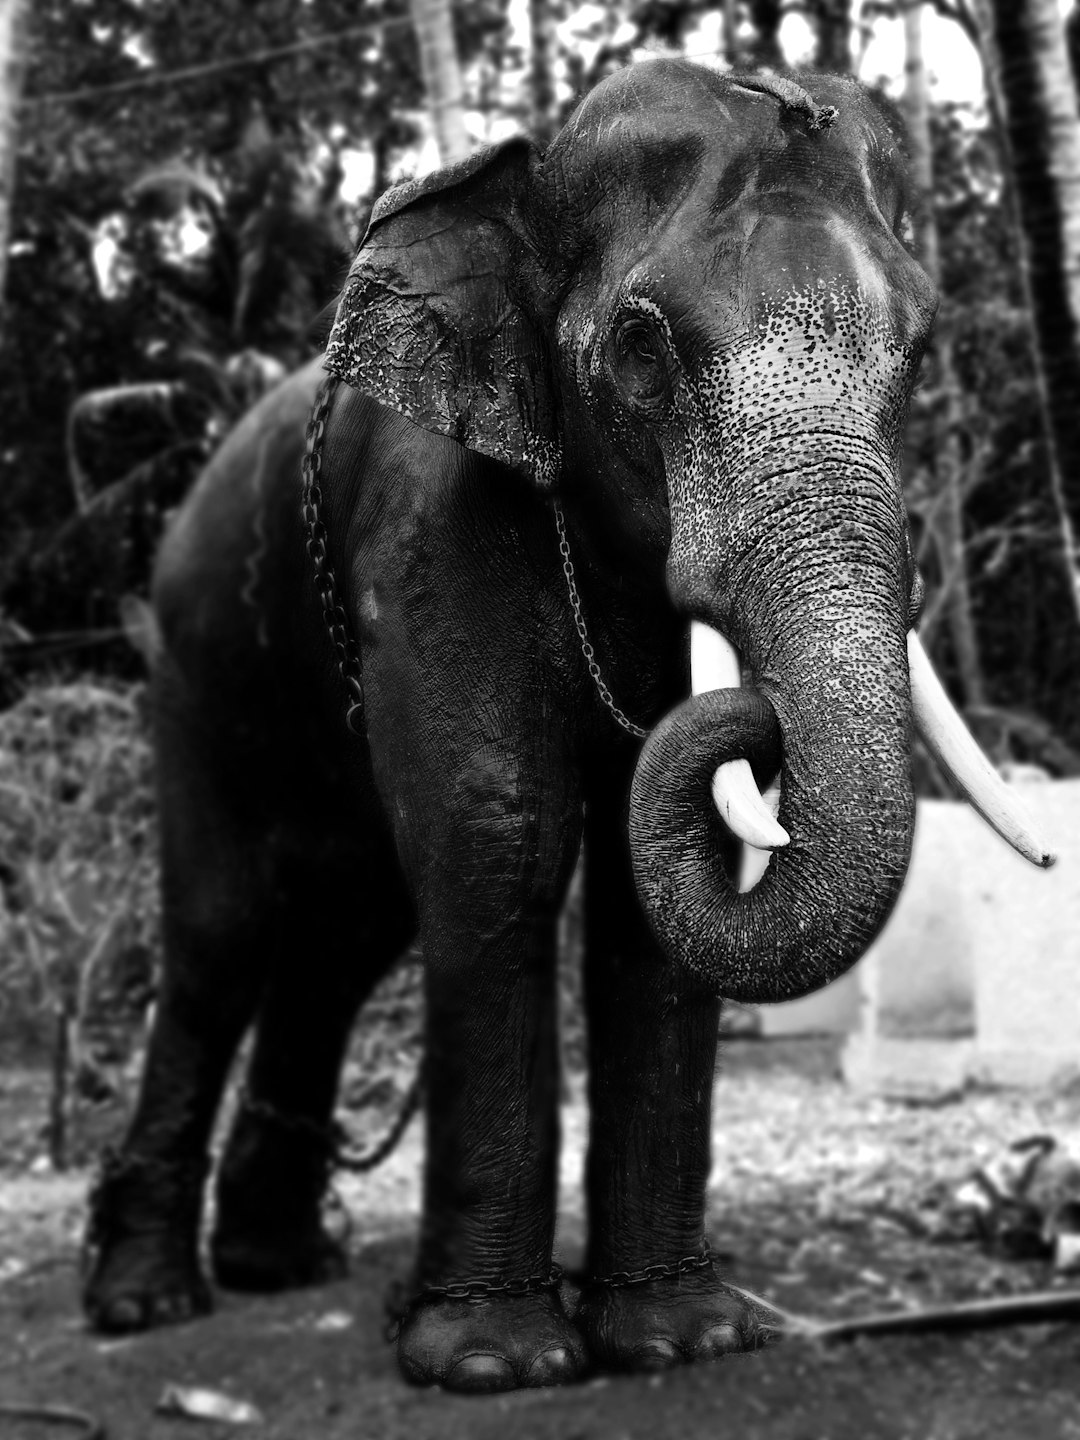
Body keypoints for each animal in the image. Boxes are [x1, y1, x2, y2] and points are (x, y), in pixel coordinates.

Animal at [82, 59, 1048, 1393]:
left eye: (920, 351)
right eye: (641, 348)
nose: (755, 723)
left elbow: (657, 895)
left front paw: (684, 1341)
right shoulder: (427, 532)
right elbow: (502, 839)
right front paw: (494, 1366)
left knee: (345, 933)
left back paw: (284, 1266)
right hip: (196, 663)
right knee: (223, 934)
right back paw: (148, 1302)